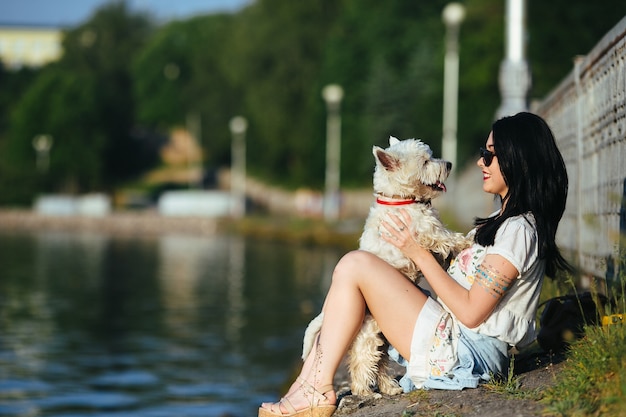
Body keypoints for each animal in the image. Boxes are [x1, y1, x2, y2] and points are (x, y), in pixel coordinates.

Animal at [302, 137, 468, 396]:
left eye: (432, 155)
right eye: (425, 161)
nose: (449, 164)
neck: (399, 198)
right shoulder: (425, 231)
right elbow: (445, 237)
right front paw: (466, 242)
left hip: (384, 335)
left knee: (379, 363)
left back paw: (390, 388)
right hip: (369, 334)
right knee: (362, 362)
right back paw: (366, 392)